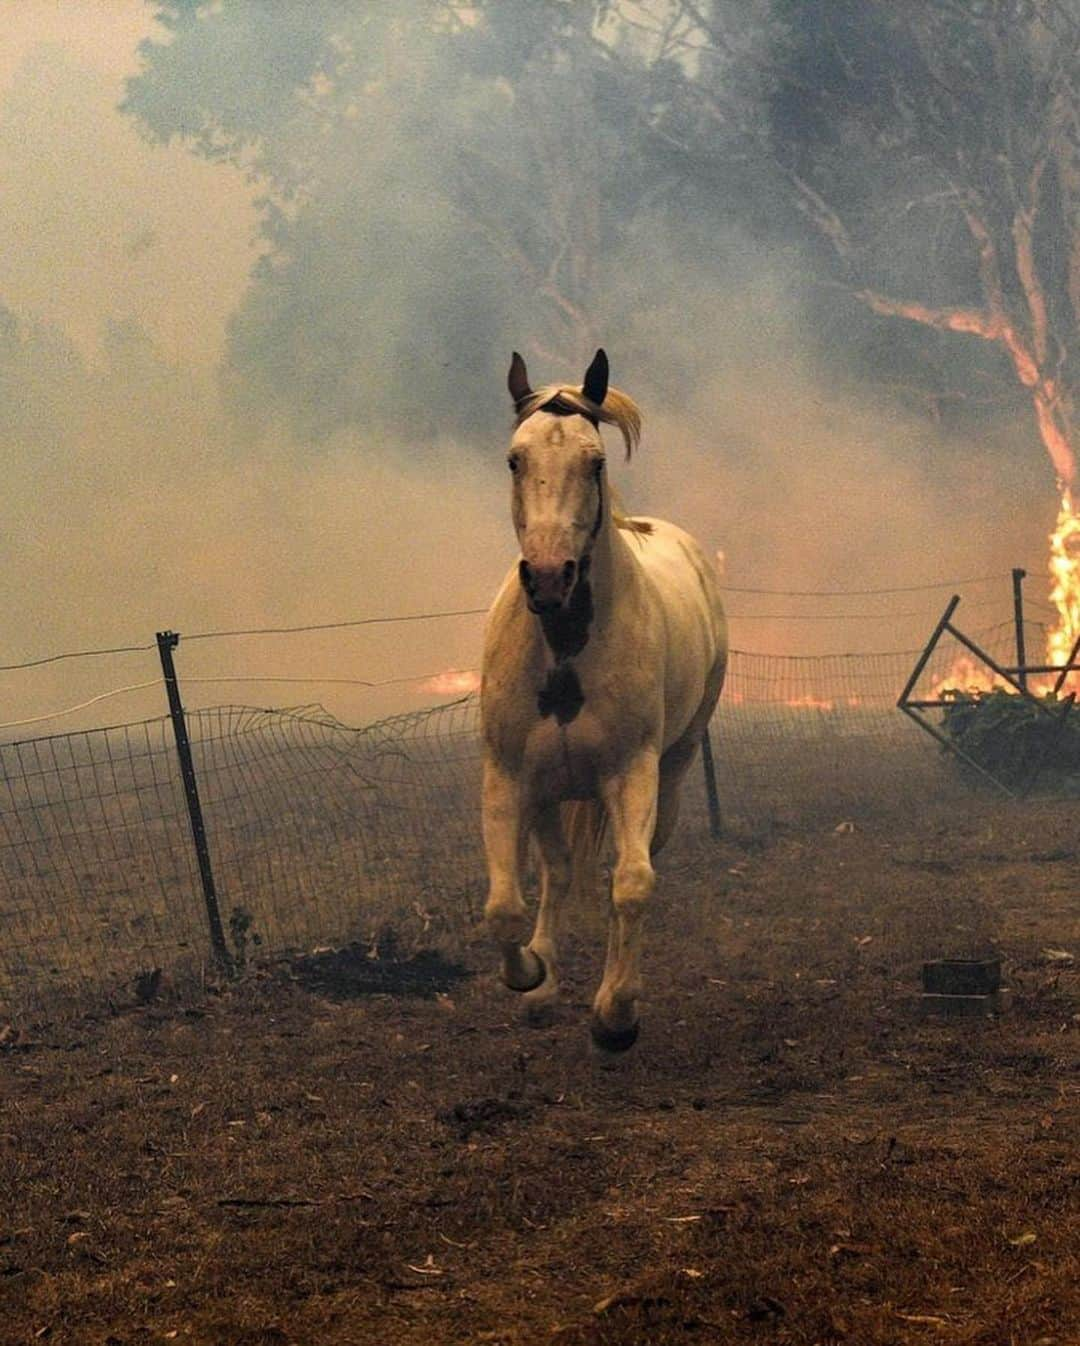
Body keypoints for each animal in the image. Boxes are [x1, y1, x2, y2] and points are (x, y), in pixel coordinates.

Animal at [476, 349, 721, 1049]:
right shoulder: (510, 776)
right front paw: (531, 975)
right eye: (515, 459)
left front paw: (616, 1015)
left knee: (627, 870)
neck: (565, 650)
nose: (549, 577)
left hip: (672, 768)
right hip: (550, 789)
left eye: (596, 462)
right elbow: (505, 906)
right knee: (558, 872)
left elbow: (631, 886)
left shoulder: (631, 773)